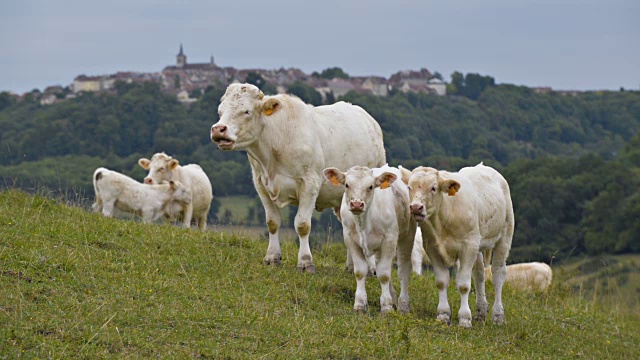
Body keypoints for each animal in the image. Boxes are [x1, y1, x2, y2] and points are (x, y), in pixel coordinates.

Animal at [212, 83, 388, 272]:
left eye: (246, 111)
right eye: (220, 111)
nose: (218, 129)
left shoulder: (309, 184)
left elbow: (302, 225)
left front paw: (305, 262)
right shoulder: (260, 184)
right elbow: (272, 222)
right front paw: (272, 257)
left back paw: (371, 267)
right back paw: (351, 265)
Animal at [400, 165, 516, 328]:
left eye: (433, 188)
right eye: (409, 187)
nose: (416, 207)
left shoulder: (468, 247)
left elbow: (463, 284)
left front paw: (465, 319)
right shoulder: (432, 248)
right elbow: (442, 282)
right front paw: (443, 315)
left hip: (504, 236)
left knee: (498, 274)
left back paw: (498, 315)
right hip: (478, 244)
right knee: (479, 274)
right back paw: (480, 312)